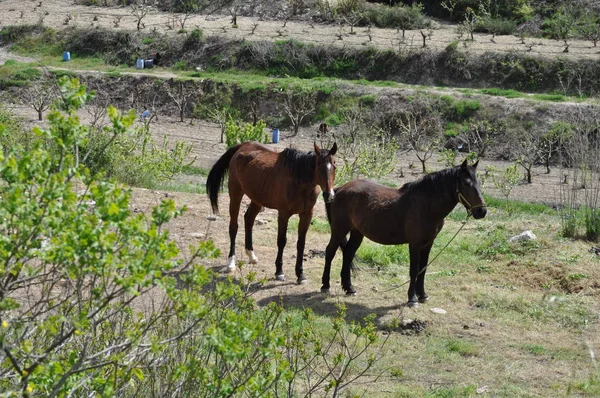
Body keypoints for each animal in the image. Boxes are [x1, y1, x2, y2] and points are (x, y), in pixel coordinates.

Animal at [206, 141, 338, 282]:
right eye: (318, 165)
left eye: (334, 165)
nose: (329, 195)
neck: (299, 182)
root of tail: (243, 146)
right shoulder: (283, 214)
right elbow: (281, 241)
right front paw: (279, 271)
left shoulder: (307, 215)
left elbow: (301, 243)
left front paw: (300, 274)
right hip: (236, 194)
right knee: (233, 227)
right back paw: (231, 263)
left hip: (257, 199)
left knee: (249, 219)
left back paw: (251, 255)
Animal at [322, 159, 486, 308]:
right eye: (466, 183)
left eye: (479, 183)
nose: (482, 211)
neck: (427, 205)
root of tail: (339, 189)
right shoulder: (415, 244)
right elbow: (414, 270)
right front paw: (412, 299)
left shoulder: (428, 243)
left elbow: (423, 269)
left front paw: (423, 295)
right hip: (339, 229)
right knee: (330, 252)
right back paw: (325, 286)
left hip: (357, 232)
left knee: (348, 253)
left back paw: (349, 288)